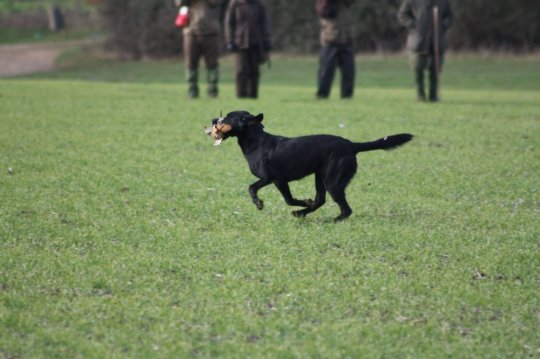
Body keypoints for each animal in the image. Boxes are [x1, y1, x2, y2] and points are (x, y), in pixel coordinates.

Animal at [207, 111, 414, 221]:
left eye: (227, 117)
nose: (212, 120)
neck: (256, 142)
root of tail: (352, 145)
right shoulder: (270, 179)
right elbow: (254, 188)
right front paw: (260, 203)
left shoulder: (276, 179)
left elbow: (287, 198)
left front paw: (299, 202)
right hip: (320, 177)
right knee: (321, 200)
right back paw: (302, 213)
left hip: (332, 181)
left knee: (345, 209)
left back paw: (330, 220)